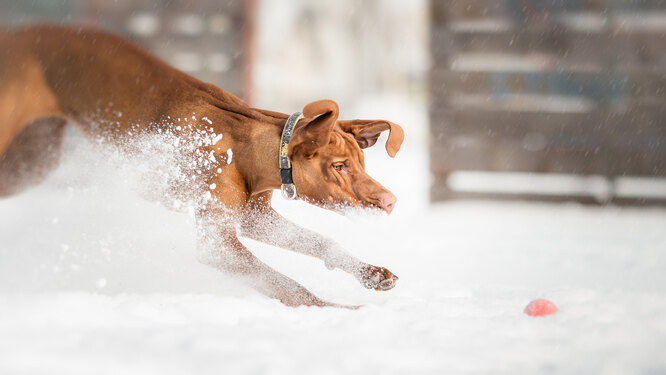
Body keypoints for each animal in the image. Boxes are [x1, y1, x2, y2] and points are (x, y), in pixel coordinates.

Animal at [0, 25, 402, 308]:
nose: (390, 201)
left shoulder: (255, 217)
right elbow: (283, 283)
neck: (245, 146)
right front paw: (334, 310)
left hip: (33, 160)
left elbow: (322, 241)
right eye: (339, 166)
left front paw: (369, 273)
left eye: (361, 163)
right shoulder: (218, 245)